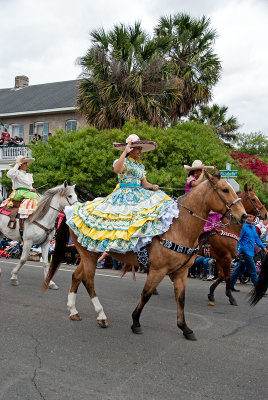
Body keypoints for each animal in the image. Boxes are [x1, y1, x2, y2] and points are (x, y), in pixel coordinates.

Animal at [44, 173, 247, 340]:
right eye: (225, 189)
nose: (244, 216)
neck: (178, 226)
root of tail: (72, 209)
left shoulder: (181, 273)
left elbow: (180, 299)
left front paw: (185, 328)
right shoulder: (158, 270)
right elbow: (146, 293)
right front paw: (135, 322)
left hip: (90, 254)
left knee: (77, 276)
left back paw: (73, 311)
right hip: (88, 255)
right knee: (88, 280)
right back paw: (101, 316)